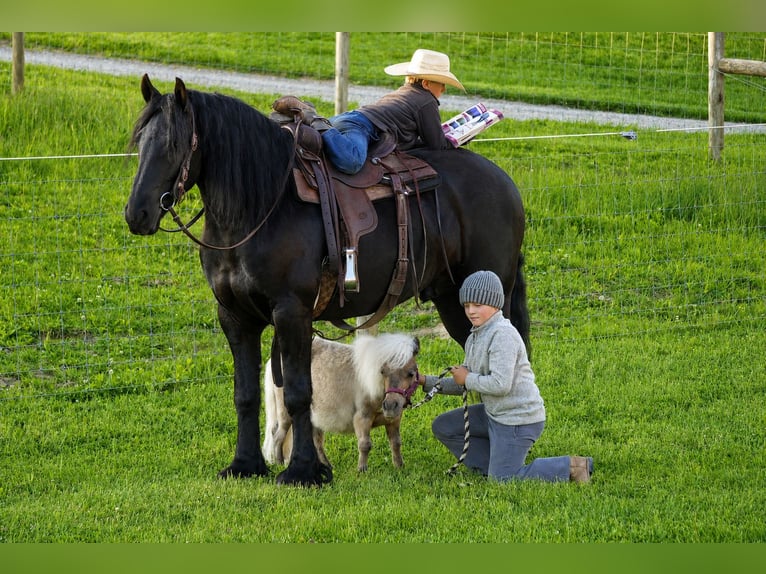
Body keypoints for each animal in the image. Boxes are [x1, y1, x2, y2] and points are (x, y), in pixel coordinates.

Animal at [263, 333, 420, 472]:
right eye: (383, 372)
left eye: (411, 373)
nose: (390, 406)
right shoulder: (362, 418)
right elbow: (365, 445)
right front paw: (362, 471)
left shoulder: (394, 420)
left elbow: (396, 443)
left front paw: (399, 467)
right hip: (286, 413)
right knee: (278, 435)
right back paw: (279, 463)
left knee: (316, 441)